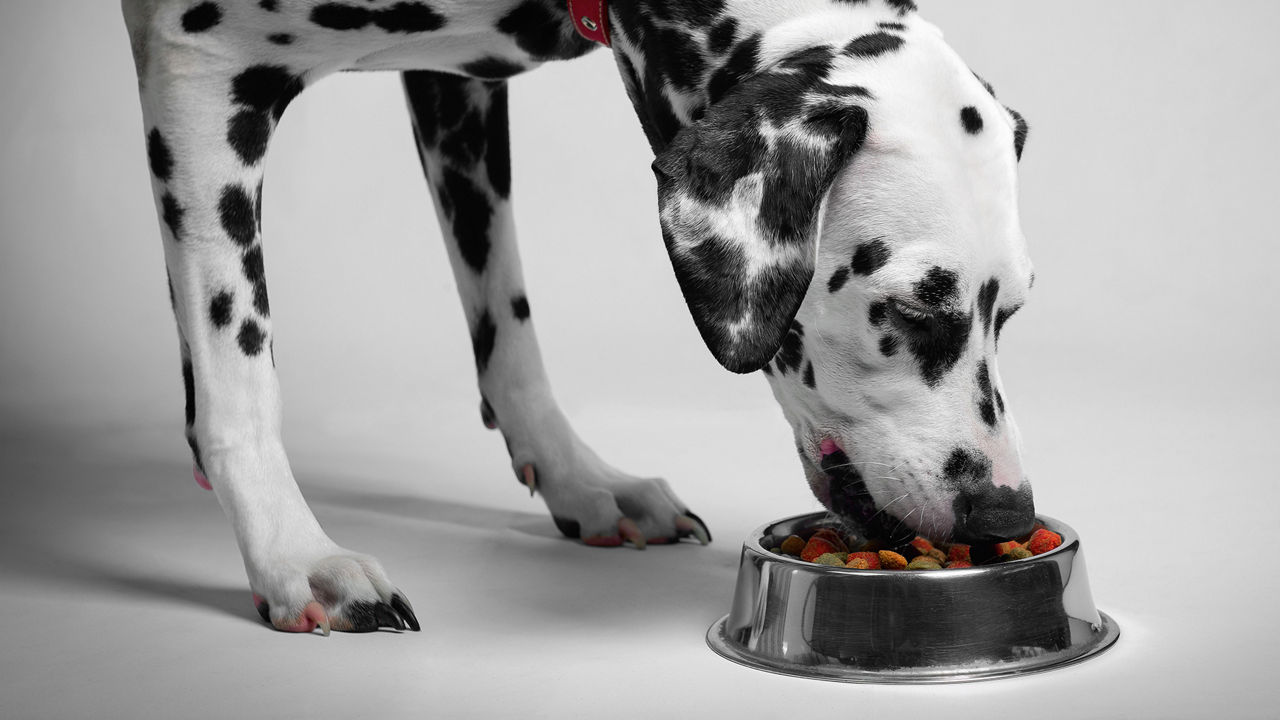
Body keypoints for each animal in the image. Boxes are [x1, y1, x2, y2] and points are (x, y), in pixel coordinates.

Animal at [124, 0, 1034, 630]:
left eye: (1014, 311)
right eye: (911, 309)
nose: (1008, 514)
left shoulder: (460, 90)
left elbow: (508, 323)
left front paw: (579, 478)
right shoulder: (199, 64)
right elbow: (238, 367)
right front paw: (292, 553)